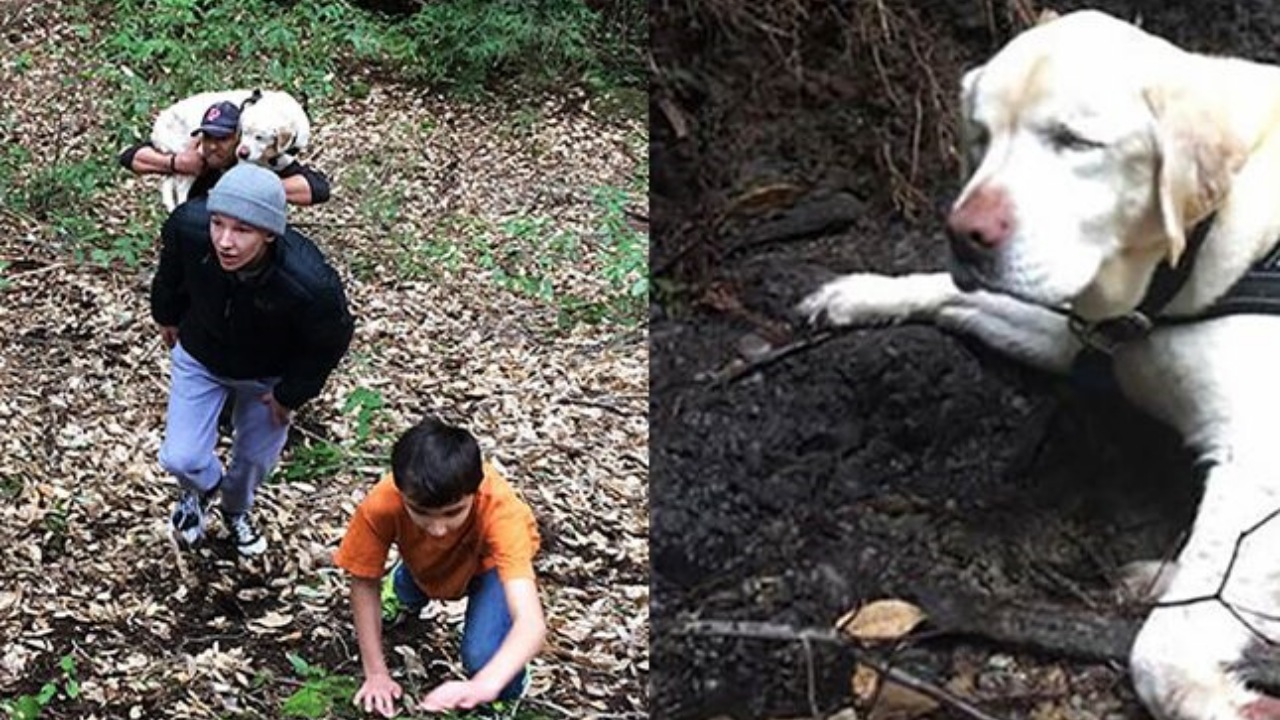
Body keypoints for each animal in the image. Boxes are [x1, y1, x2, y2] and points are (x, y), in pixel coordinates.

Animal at [147, 87, 309, 208]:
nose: (241, 153)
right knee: (180, 190)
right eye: (242, 132)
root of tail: (156, 128)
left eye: (259, 137)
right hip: (192, 161)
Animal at [798, 11, 1280, 717]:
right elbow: (955, 294)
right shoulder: (1072, 329)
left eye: (1074, 141)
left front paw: (1214, 697)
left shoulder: (1260, 459)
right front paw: (863, 292)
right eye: (979, 136)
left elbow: (1162, 644)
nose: (965, 234)